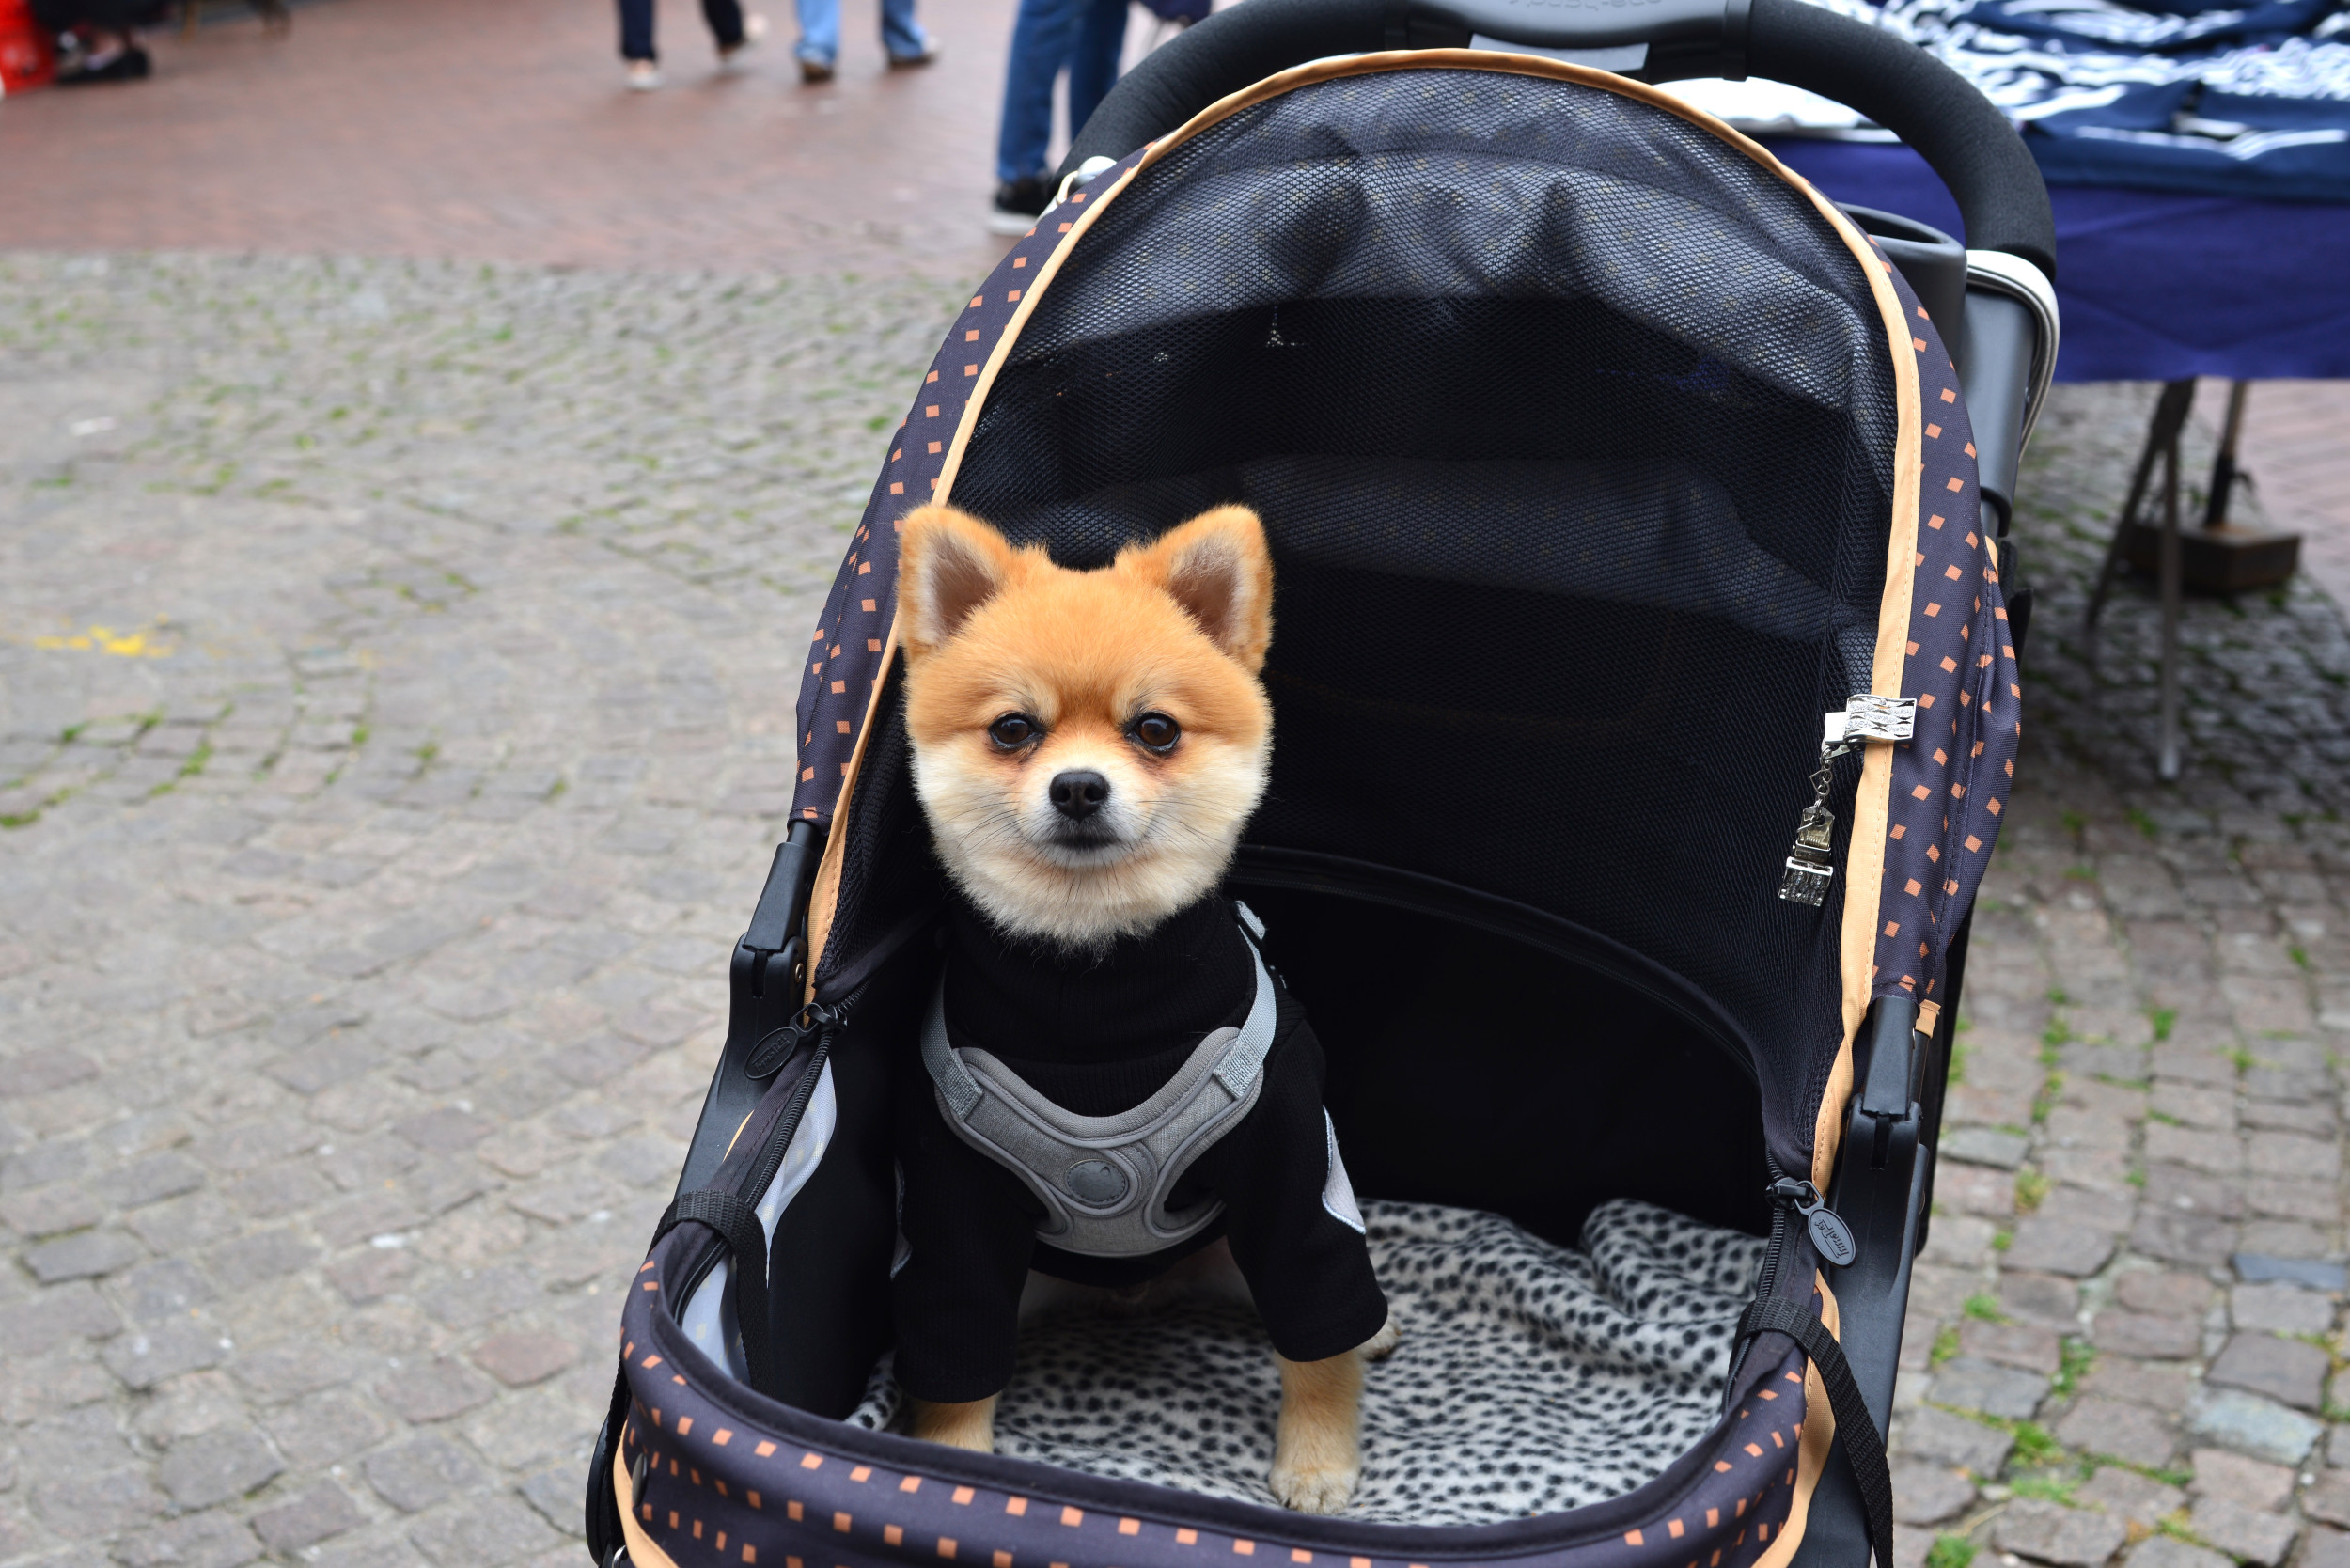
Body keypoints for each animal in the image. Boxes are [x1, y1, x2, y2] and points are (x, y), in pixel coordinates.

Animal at [884, 510, 1391, 1513]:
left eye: (1155, 730)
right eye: (1013, 730)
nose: (1080, 785)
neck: (1096, 993)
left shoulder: (1288, 1168)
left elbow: (1319, 1328)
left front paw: (1317, 1458)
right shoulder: (955, 1200)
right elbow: (957, 1347)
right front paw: (952, 1458)